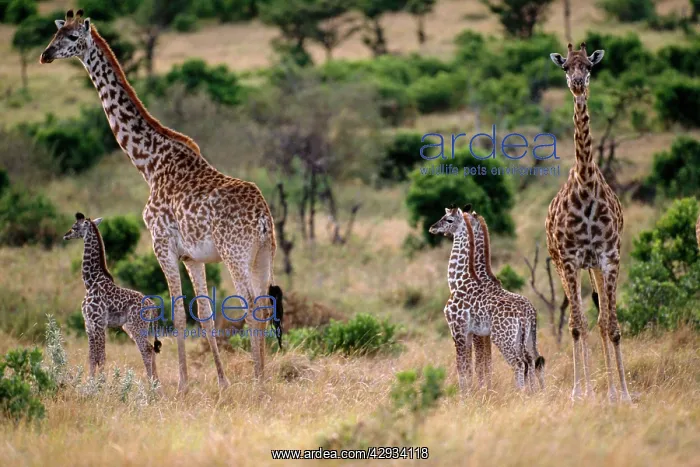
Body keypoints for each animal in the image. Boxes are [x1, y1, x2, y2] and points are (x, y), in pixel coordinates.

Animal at [64, 213, 162, 381]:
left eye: (75, 227)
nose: (65, 235)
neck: (90, 282)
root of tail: (153, 305)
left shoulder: (98, 323)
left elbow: (101, 357)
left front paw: (100, 383)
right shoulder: (88, 324)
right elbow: (92, 357)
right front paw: (90, 382)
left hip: (135, 327)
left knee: (147, 350)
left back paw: (150, 385)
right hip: (135, 327)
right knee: (150, 349)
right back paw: (156, 385)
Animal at [463, 208, 545, 392]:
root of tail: (532, 310)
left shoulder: (478, 332)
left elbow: (481, 362)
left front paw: (484, 389)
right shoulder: (484, 333)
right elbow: (487, 361)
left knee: (526, 361)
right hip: (529, 337)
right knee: (537, 360)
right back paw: (540, 391)